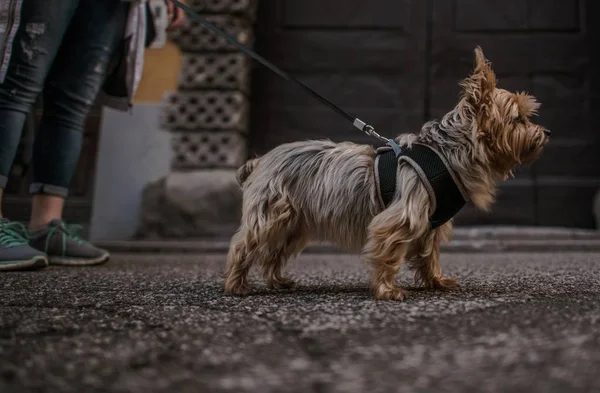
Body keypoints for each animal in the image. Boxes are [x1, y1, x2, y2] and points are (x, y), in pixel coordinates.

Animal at [224, 47, 548, 298]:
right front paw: (387, 290)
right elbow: (389, 253)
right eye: (518, 119)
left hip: (296, 222)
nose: (545, 134)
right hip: (271, 213)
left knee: (274, 253)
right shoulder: (400, 217)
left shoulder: (430, 222)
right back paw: (236, 285)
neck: (446, 152)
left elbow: (429, 254)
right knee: (245, 244)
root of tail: (261, 161)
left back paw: (277, 281)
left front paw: (437, 281)